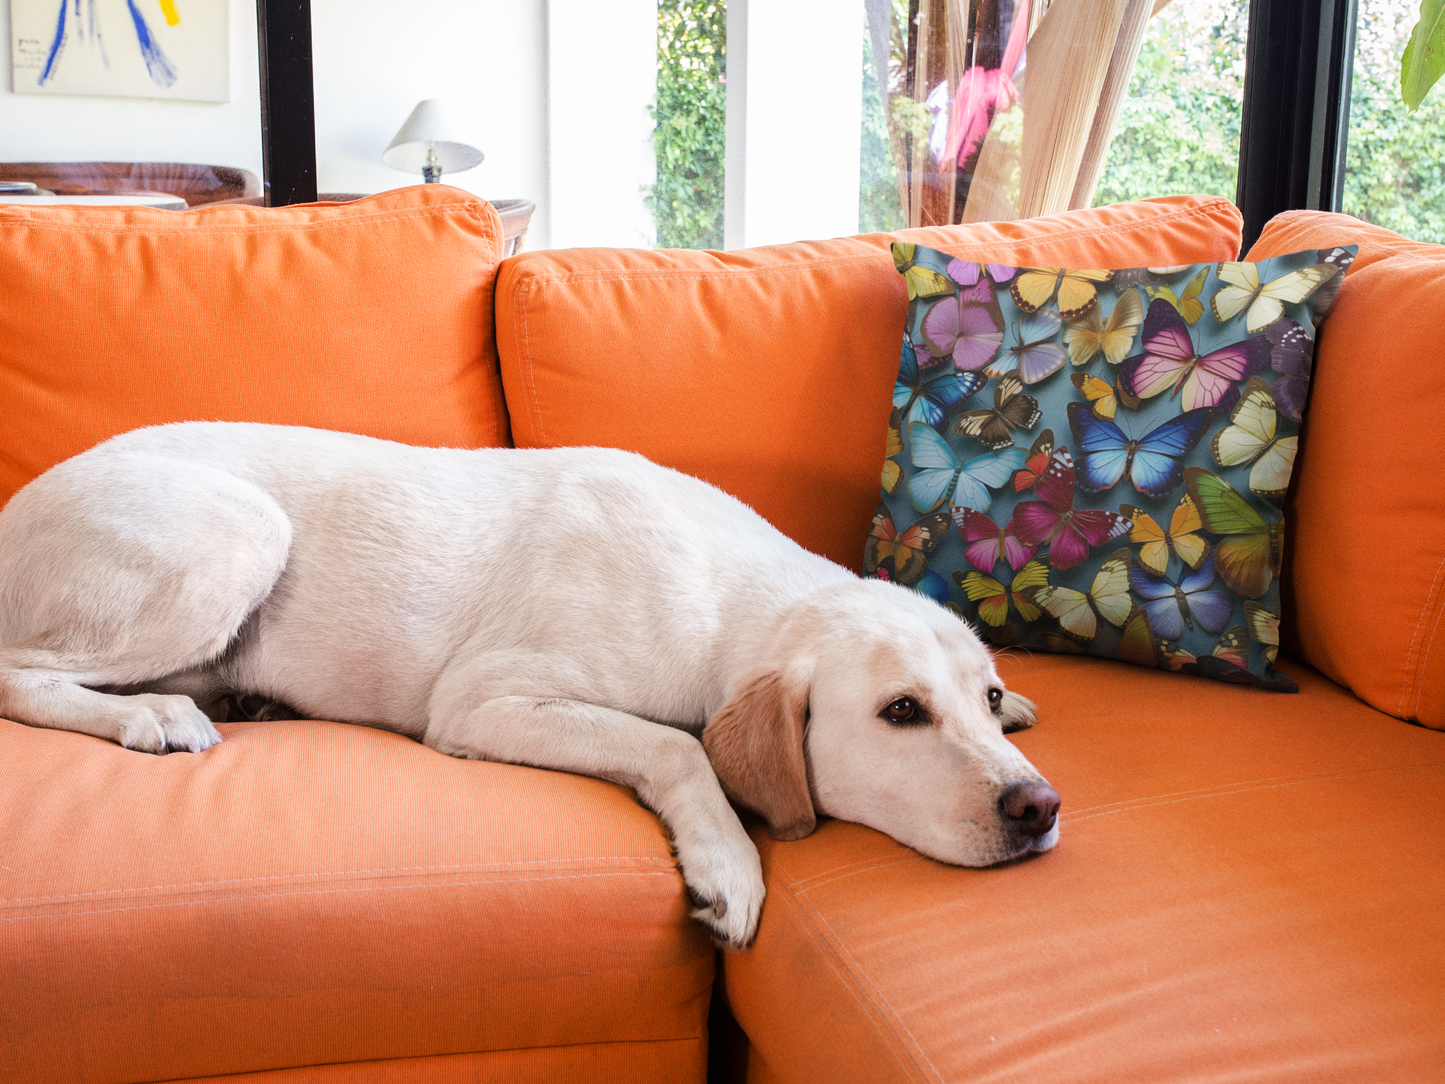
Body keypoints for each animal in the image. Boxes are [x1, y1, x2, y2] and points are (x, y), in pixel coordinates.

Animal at [0, 419, 1063, 948]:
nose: (1038, 807)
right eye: (900, 713)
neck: (731, 595)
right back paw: (152, 714)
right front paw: (727, 864)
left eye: (982, 697)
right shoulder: (485, 701)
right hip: (236, 535)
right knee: (22, 677)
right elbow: (678, 744)